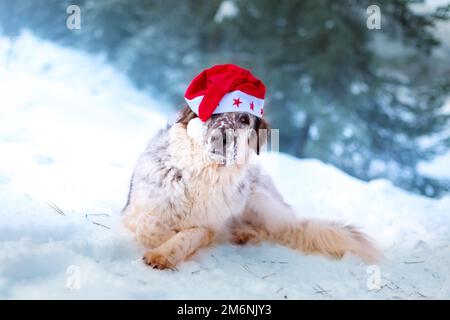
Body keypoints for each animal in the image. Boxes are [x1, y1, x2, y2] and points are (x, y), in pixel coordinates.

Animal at [120, 106, 380, 268]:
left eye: (244, 119)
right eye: (212, 111)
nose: (222, 138)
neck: (203, 173)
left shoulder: (209, 225)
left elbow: (190, 236)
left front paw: (162, 254)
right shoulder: (133, 211)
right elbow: (151, 224)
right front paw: (162, 239)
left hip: (258, 198)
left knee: (273, 229)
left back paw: (242, 234)